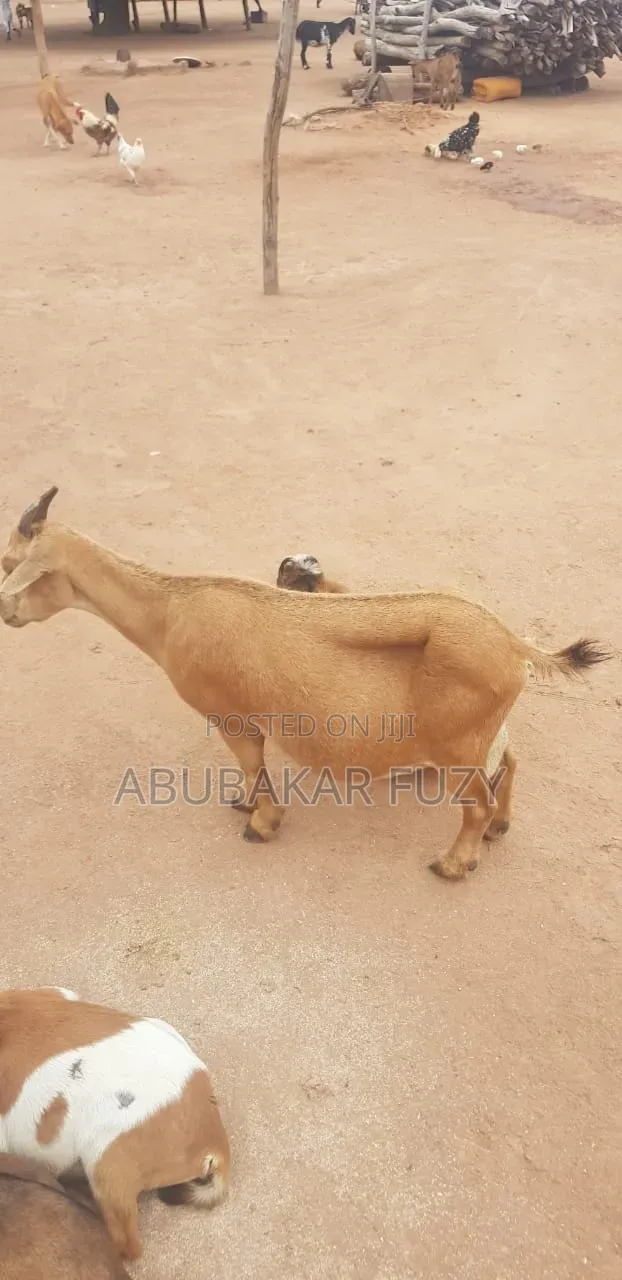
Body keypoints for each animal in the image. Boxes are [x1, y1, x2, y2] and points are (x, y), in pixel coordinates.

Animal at [0, 487, 611, 880]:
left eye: (9, 562)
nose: (6, 613)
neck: (171, 610)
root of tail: (514, 645)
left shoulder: (232, 715)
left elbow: (253, 764)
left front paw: (260, 822)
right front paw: (246, 805)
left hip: (458, 745)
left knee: (476, 801)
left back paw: (454, 863)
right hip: (484, 733)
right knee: (508, 766)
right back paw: (498, 829)